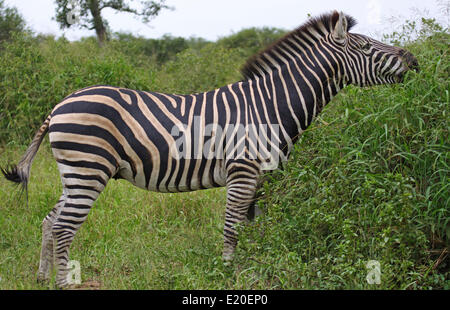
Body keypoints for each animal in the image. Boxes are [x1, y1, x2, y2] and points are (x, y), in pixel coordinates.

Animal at [2, 11, 418, 288]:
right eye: (366, 46)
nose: (414, 60)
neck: (270, 107)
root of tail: (60, 104)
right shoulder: (243, 171)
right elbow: (232, 227)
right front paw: (227, 274)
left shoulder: (261, 177)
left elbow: (252, 227)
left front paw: (252, 269)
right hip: (88, 169)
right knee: (64, 226)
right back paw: (63, 282)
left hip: (76, 172)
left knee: (50, 220)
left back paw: (41, 277)